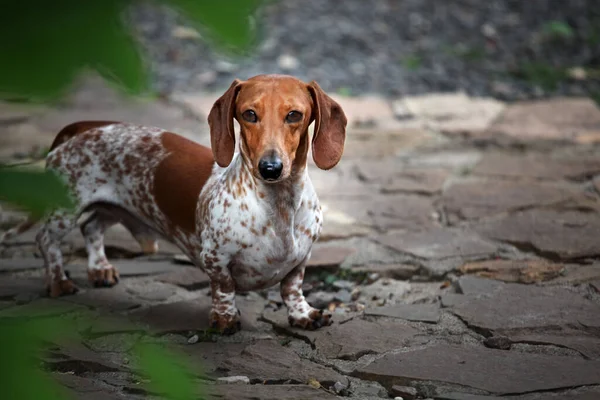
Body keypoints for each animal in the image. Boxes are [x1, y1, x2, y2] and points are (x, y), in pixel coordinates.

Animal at [1, 74, 346, 334]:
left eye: (294, 115)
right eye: (249, 114)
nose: (270, 168)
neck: (277, 208)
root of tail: (83, 127)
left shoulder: (302, 258)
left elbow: (292, 288)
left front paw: (303, 314)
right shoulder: (214, 257)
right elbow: (223, 286)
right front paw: (225, 319)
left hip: (111, 206)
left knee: (92, 227)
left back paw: (100, 269)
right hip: (66, 207)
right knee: (46, 240)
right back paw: (59, 282)